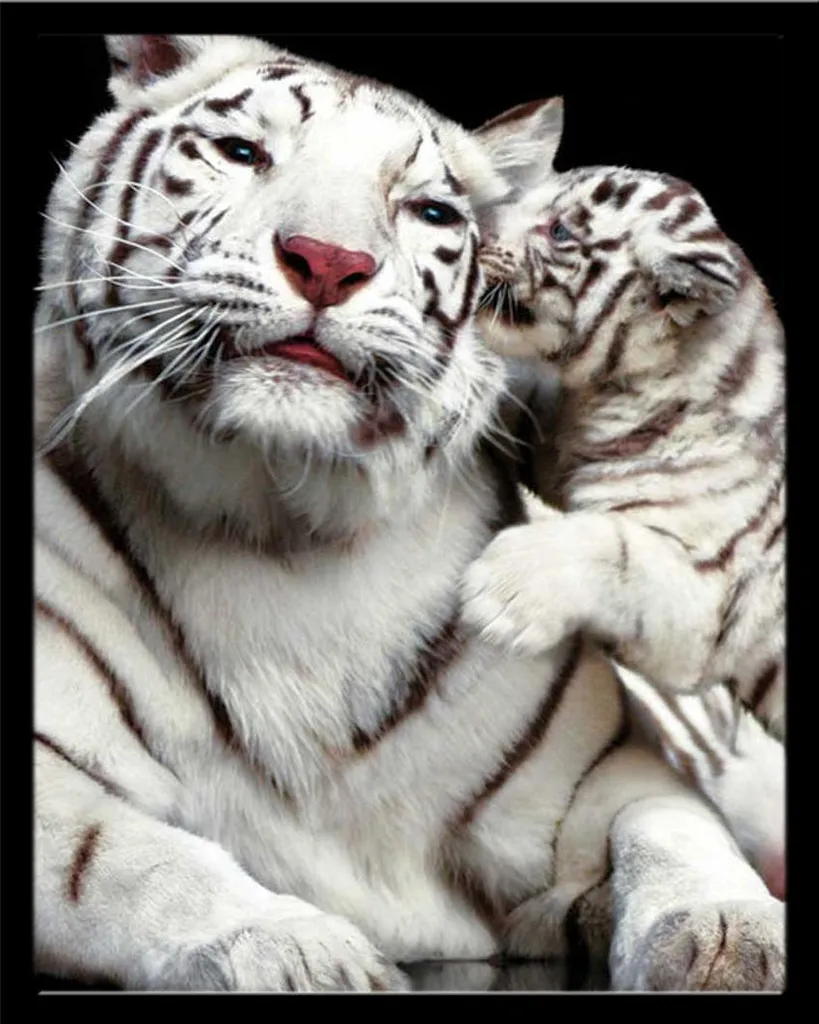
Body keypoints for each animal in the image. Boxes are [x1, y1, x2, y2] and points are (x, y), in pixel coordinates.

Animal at [463, 97, 784, 752]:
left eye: (560, 230)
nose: (478, 230)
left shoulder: (707, 604)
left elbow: (611, 547)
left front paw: (502, 590)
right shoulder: (556, 439)